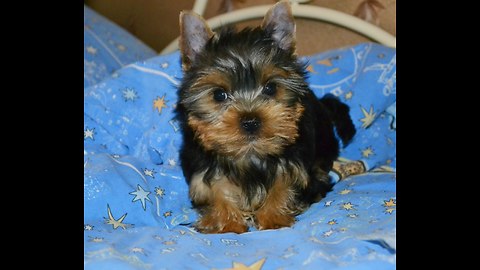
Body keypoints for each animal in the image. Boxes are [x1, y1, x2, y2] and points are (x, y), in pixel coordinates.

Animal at [174, 0, 354, 234]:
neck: (250, 154)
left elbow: (285, 183)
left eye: (270, 88)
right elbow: (215, 190)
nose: (250, 121)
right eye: (219, 95)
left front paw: (273, 216)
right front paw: (227, 222)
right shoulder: (202, 168)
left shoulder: (295, 164)